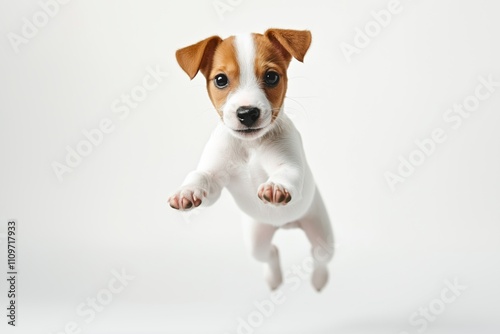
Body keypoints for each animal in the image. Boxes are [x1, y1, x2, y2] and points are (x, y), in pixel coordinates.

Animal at [170, 28, 334, 290]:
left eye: (271, 77)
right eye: (220, 80)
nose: (247, 113)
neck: (250, 146)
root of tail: (285, 225)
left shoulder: (291, 165)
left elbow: (286, 173)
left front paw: (276, 186)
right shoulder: (214, 181)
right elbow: (201, 177)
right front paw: (187, 191)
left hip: (321, 234)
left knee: (319, 258)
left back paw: (318, 280)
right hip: (257, 241)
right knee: (271, 253)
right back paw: (274, 278)